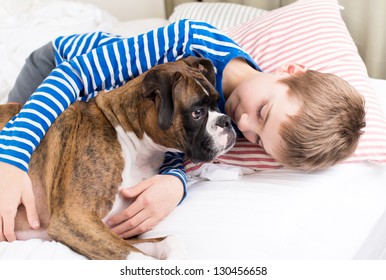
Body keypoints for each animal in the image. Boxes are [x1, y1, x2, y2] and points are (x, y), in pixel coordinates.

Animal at [0, 57, 235, 260]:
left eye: (216, 103)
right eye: (197, 113)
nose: (227, 121)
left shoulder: (114, 229)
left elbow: (170, 240)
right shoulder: (75, 219)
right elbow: (136, 258)